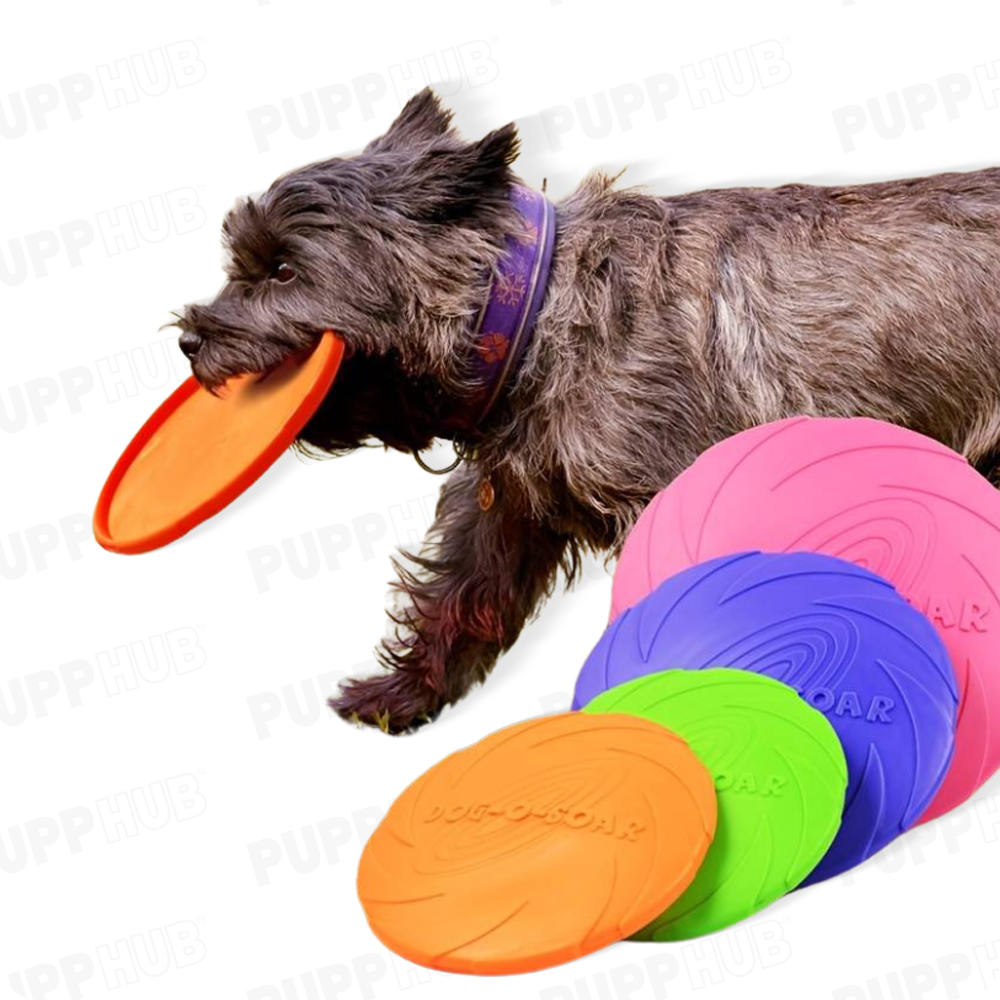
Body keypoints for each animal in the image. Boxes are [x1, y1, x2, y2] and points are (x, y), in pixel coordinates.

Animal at [174, 88, 1000, 736]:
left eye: (284, 270)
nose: (189, 339)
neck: (532, 313)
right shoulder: (503, 507)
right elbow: (455, 599)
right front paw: (399, 697)